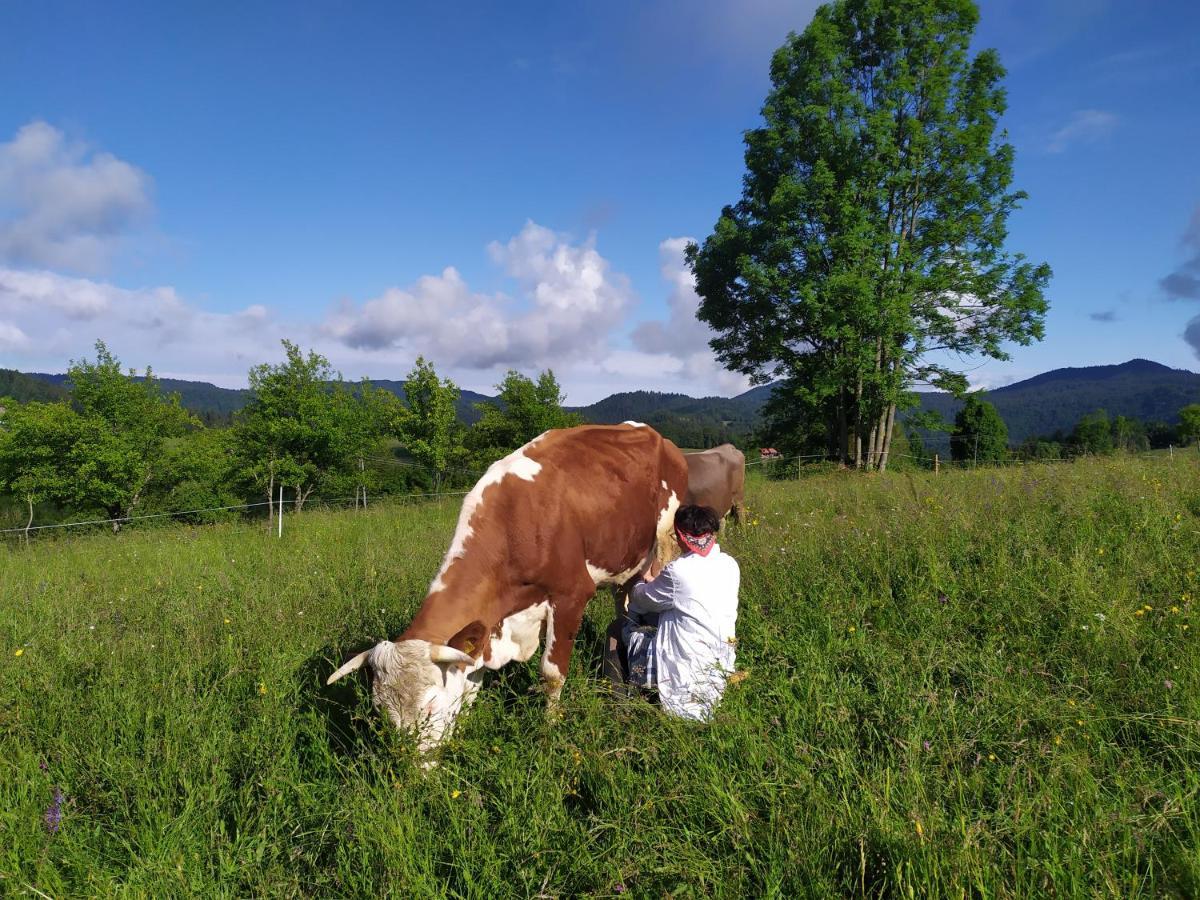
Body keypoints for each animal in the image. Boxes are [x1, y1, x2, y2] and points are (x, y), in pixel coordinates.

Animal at [328, 422, 691, 753]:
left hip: (665, 543)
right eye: (382, 710)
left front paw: (549, 727)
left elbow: (552, 673)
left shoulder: (571, 595)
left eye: (429, 705)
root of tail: (658, 437)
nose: (414, 769)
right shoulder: (483, 630)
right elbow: (470, 685)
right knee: (624, 600)